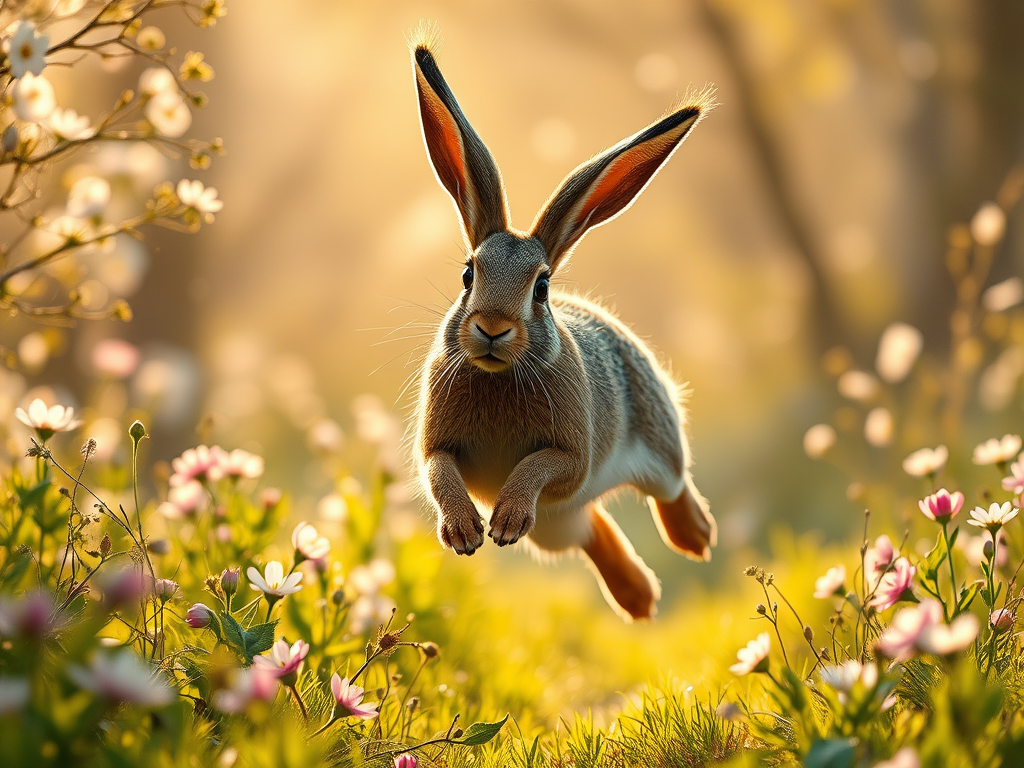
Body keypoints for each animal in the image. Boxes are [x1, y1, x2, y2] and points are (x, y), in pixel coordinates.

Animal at [410, 32, 717, 621]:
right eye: (468, 274)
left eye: (541, 288)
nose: (491, 327)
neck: (497, 373)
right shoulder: (437, 446)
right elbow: (439, 472)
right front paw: (465, 533)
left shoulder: (571, 455)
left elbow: (543, 465)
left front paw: (504, 519)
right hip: (556, 528)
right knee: (594, 530)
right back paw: (639, 600)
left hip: (655, 440)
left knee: (672, 485)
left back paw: (695, 538)